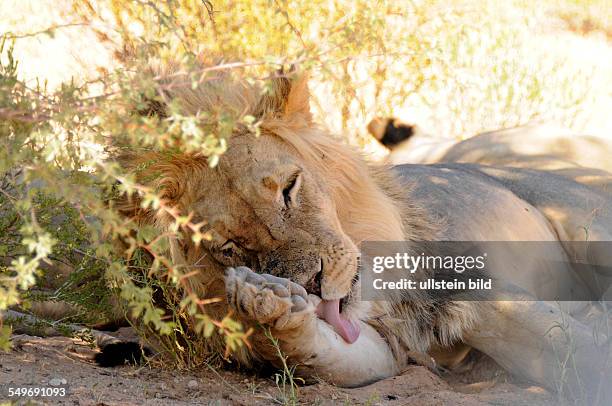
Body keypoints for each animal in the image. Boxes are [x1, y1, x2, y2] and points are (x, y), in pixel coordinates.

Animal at [111, 68, 612, 402]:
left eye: (289, 189)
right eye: (230, 246)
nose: (312, 284)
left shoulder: (468, 284)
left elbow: (575, 350)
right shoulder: (387, 344)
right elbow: (327, 357)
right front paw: (269, 306)